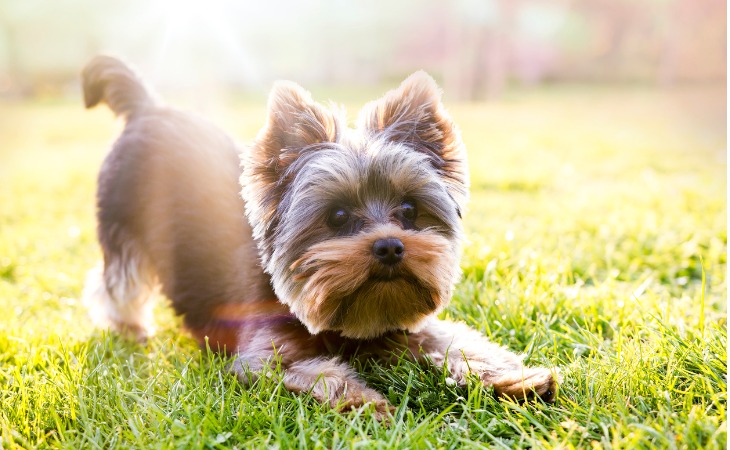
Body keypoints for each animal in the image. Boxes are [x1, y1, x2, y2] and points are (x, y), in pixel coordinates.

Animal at [81, 55, 556, 418]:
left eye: (408, 211)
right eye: (338, 216)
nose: (389, 245)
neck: (348, 322)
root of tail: (147, 108)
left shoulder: (403, 325)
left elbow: (457, 342)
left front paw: (515, 378)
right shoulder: (262, 358)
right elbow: (319, 373)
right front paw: (366, 402)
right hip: (121, 224)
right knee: (116, 282)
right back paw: (129, 328)